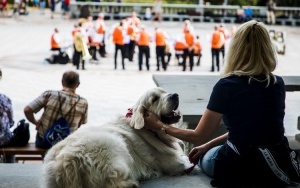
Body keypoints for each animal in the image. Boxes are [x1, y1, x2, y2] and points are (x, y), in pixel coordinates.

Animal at [42, 87, 192, 187]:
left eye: (165, 92)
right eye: (155, 99)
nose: (175, 95)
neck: (148, 130)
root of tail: (67, 163)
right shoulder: (172, 163)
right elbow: (183, 162)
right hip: (112, 145)